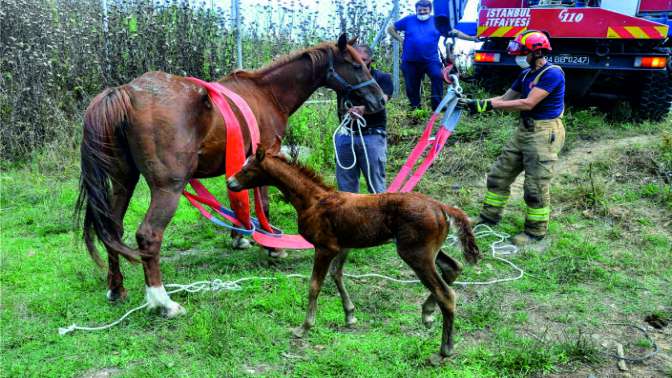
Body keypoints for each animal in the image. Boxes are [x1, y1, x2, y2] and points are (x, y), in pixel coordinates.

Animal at [75, 35, 384, 318]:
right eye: (356, 65)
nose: (380, 99)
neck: (267, 92)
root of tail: (126, 92)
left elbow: (238, 199)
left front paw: (240, 237)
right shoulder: (266, 156)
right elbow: (262, 203)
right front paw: (272, 245)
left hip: (123, 182)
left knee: (112, 229)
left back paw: (116, 288)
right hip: (167, 189)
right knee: (148, 236)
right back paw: (163, 302)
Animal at [228, 141, 480, 358]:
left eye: (248, 169)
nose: (230, 183)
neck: (312, 200)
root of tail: (441, 206)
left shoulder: (324, 247)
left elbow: (314, 285)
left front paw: (304, 327)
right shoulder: (343, 245)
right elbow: (336, 274)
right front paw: (350, 315)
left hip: (415, 253)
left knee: (446, 293)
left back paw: (445, 348)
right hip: (427, 250)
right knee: (453, 267)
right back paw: (427, 314)